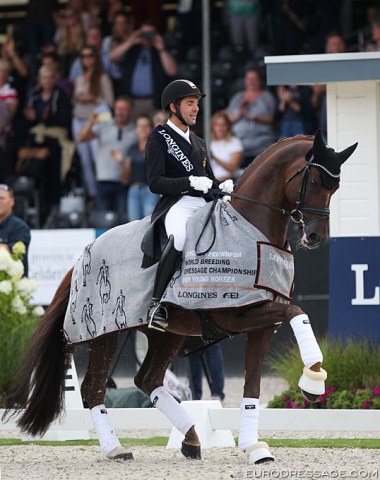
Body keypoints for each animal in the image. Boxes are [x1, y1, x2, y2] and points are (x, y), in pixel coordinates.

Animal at [4, 130, 358, 464]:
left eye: (336, 187)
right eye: (315, 180)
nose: (315, 237)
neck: (250, 232)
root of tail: (85, 253)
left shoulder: (262, 324)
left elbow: (254, 384)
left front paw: (255, 447)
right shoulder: (235, 314)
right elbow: (297, 312)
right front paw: (313, 381)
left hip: (169, 333)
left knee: (148, 379)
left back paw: (190, 438)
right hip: (105, 333)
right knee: (94, 387)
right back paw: (115, 449)